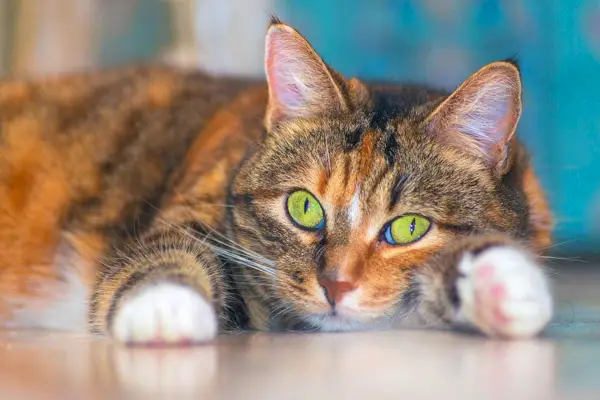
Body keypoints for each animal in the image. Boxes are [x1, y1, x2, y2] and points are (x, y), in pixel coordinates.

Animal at [0, 18, 552, 344]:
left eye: (408, 227)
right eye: (304, 207)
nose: (336, 284)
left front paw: (499, 279)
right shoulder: (192, 212)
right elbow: (163, 252)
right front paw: (167, 308)